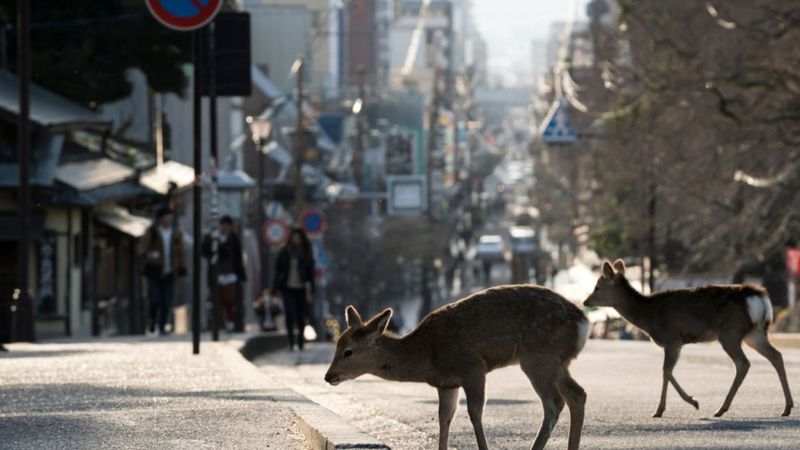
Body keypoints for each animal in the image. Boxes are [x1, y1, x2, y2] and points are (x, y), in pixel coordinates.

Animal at [322, 284, 592, 450]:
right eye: (337, 345)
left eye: (348, 351)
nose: (328, 376)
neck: (427, 356)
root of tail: (584, 322)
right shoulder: (446, 384)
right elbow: (445, 418)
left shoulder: (473, 367)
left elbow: (474, 413)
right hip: (557, 361)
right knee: (577, 394)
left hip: (538, 357)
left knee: (554, 402)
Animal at [580, 260, 792, 418]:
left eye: (597, 287)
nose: (585, 301)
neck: (648, 316)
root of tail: (759, 297)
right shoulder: (675, 342)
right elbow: (666, 372)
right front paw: (660, 409)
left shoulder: (672, 339)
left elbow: (666, 371)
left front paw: (691, 402)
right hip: (753, 333)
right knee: (776, 356)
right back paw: (787, 407)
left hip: (729, 332)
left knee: (743, 363)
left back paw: (721, 409)